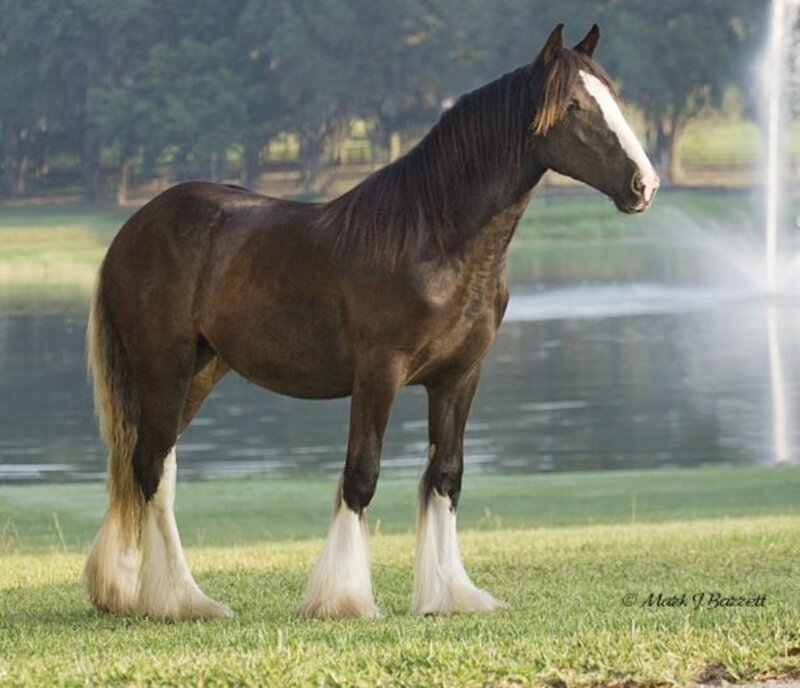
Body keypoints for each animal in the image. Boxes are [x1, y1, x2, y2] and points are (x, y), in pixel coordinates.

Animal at [83, 23, 658, 621]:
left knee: (151, 466)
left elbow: (446, 476)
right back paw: (181, 600)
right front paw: (342, 598)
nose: (644, 184)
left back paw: (129, 592)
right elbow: (360, 477)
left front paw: (449, 595)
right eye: (572, 105)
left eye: (612, 96)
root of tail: (134, 227)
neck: (434, 237)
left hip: (198, 372)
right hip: (164, 368)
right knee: (152, 469)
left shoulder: (458, 378)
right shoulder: (379, 374)